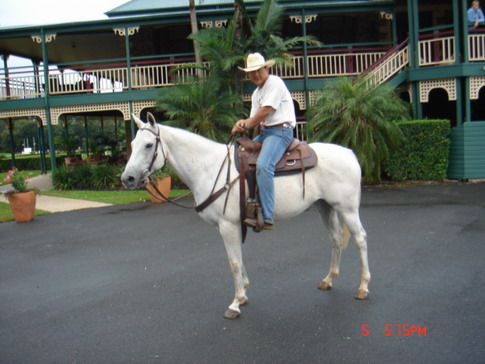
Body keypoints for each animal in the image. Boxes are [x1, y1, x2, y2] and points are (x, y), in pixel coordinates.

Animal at [122, 113, 370, 318]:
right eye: (133, 144)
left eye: (148, 145)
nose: (127, 179)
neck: (208, 168)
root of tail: (350, 153)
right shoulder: (229, 226)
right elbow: (238, 259)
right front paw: (243, 295)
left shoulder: (227, 225)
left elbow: (233, 262)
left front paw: (235, 303)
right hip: (325, 206)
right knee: (336, 239)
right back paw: (329, 279)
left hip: (347, 209)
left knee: (360, 239)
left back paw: (363, 287)